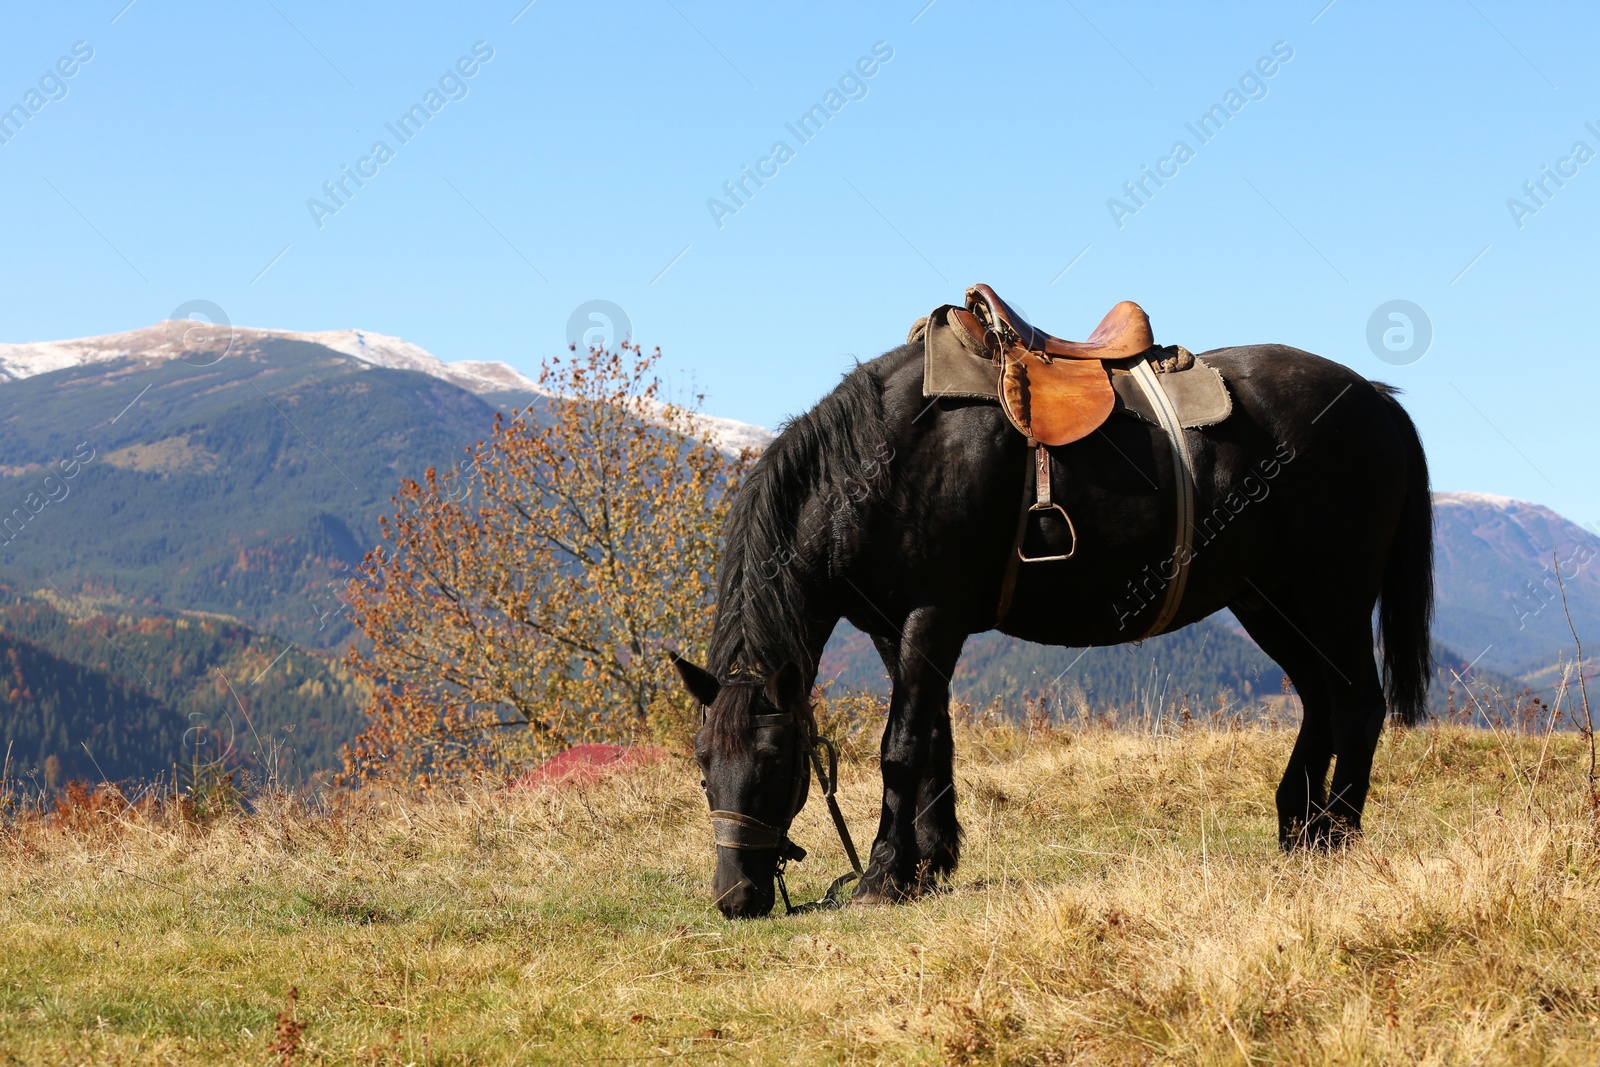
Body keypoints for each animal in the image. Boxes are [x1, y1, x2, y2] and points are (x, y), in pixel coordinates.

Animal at [675, 335, 1440, 921]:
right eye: (704, 766)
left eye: (778, 763)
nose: (736, 897)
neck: (884, 459)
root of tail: (1374, 397)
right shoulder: (898, 631)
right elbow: (934, 742)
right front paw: (932, 862)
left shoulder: (932, 616)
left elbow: (901, 748)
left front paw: (885, 874)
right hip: (1270, 601)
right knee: (1318, 700)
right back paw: (1299, 828)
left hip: (1332, 597)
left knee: (1356, 703)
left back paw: (1338, 832)